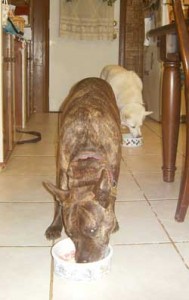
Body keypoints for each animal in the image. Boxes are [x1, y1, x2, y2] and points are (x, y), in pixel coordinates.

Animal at [43, 77, 122, 262]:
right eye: (71, 234)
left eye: (93, 230)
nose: (82, 261)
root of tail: (93, 78)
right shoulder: (62, 173)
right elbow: (58, 201)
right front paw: (55, 226)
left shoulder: (114, 171)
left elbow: (112, 197)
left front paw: (114, 219)